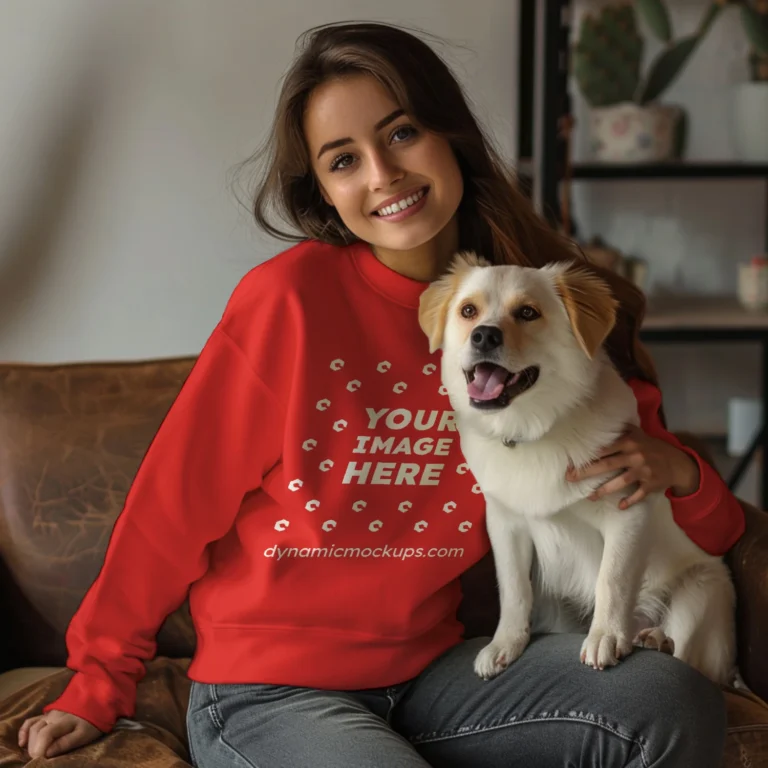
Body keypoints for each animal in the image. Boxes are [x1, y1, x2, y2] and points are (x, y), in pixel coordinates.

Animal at [420, 252, 736, 684]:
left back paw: (654, 639)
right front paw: (505, 644)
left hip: (701, 591)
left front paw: (606, 636)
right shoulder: (505, 524)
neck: (533, 429)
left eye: (528, 312)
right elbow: (514, 589)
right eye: (468, 311)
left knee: (690, 656)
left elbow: (612, 580)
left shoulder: (627, 511)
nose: (483, 336)